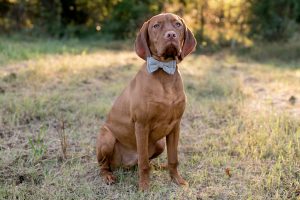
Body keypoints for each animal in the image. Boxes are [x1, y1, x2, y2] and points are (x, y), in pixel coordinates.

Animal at [96, 12, 198, 191]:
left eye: (177, 25)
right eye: (156, 26)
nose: (171, 35)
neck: (163, 72)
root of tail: (125, 164)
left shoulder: (175, 126)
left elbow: (173, 159)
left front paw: (177, 180)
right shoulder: (142, 125)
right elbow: (144, 163)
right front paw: (144, 187)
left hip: (159, 144)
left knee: (143, 162)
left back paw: (157, 167)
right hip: (106, 138)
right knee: (106, 165)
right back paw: (108, 176)